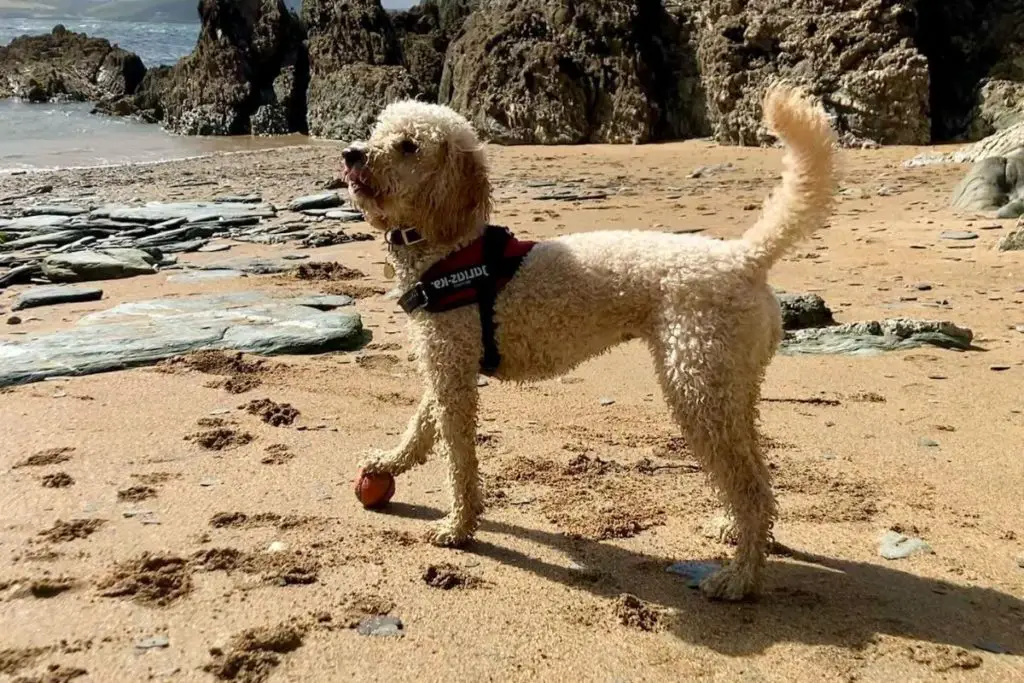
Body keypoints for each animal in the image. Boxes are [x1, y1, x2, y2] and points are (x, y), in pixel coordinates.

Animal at [344, 83, 839, 598]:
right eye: (378, 131)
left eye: (408, 146)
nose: (351, 153)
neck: (452, 248)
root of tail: (745, 257)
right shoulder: (447, 364)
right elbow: (421, 425)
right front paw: (387, 463)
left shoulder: (455, 373)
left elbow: (459, 459)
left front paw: (458, 527)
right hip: (731, 385)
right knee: (752, 470)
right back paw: (732, 530)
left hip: (697, 385)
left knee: (750, 486)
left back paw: (739, 578)